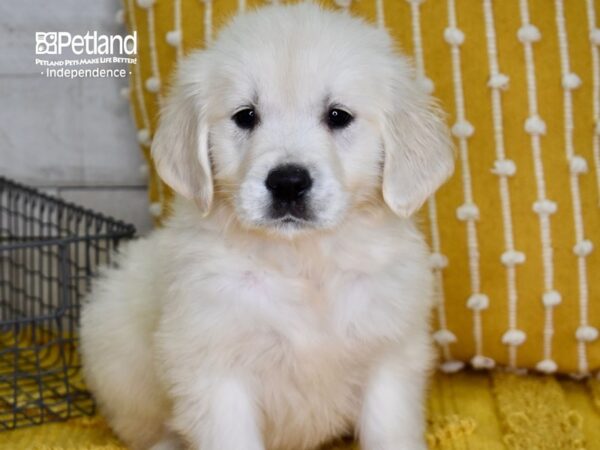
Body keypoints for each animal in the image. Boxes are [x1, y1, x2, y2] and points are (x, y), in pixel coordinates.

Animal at [81, 4, 454, 450]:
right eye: (246, 116)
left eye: (338, 116)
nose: (288, 182)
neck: (303, 260)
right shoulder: (215, 372)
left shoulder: (390, 357)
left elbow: (389, 430)